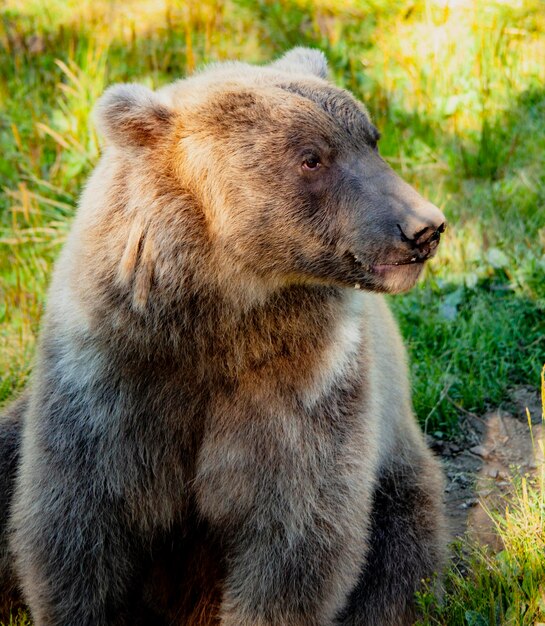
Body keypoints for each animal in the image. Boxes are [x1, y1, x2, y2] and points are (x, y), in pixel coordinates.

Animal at [0, 48, 446, 624]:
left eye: (372, 139)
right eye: (312, 158)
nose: (424, 228)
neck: (221, 304)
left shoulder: (306, 381)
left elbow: (294, 532)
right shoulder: (111, 367)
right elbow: (79, 517)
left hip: (397, 487)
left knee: (396, 565)